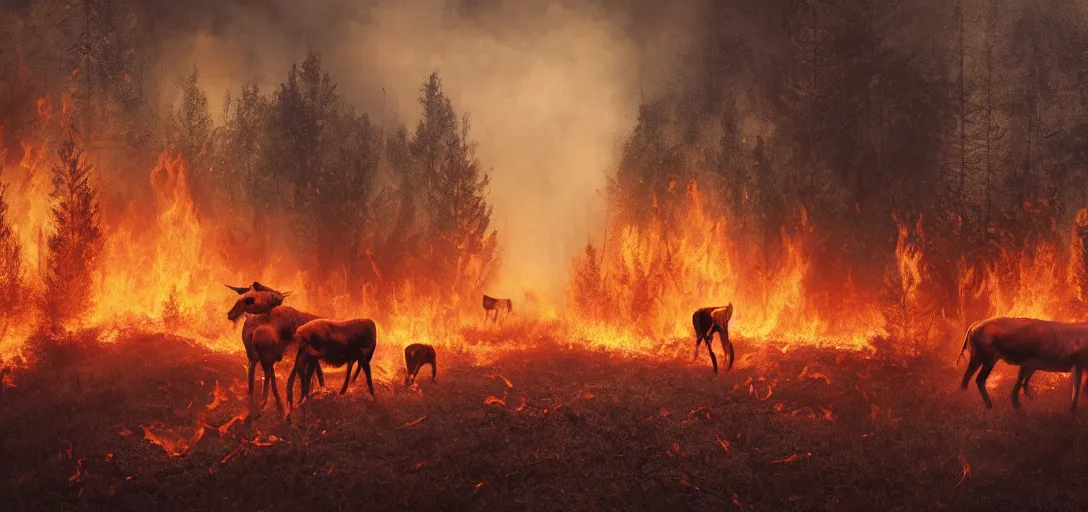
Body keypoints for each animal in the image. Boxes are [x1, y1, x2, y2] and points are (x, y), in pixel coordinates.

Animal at [957, 317, 1088, 413]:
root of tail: (974, 325)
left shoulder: (1028, 363)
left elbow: (1021, 380)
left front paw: (1020, 404)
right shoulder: (1077, 364)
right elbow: (1076, 389)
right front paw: (1072, 412)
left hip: (976, 358)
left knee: (967, 377)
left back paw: (963, 398)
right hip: (989, 358)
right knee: (979, 379)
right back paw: (990, 406)